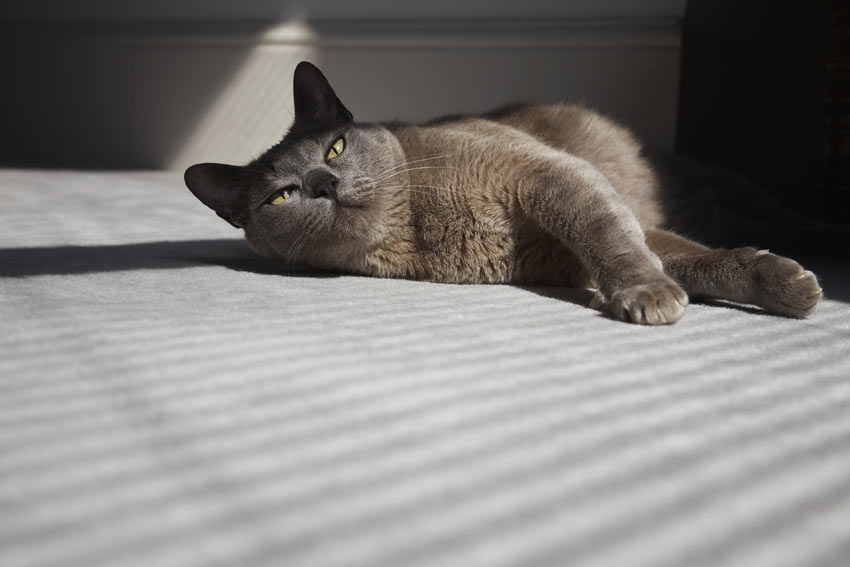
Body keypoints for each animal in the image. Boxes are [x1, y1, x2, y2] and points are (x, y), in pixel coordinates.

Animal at [184, 61, 820, 328]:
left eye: (335, 148)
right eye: (281, 197)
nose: (324, 184)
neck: (418, 227)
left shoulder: (551, 175)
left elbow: (619, 238)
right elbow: (684, 258)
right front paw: (787, 286)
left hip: (730, 187)